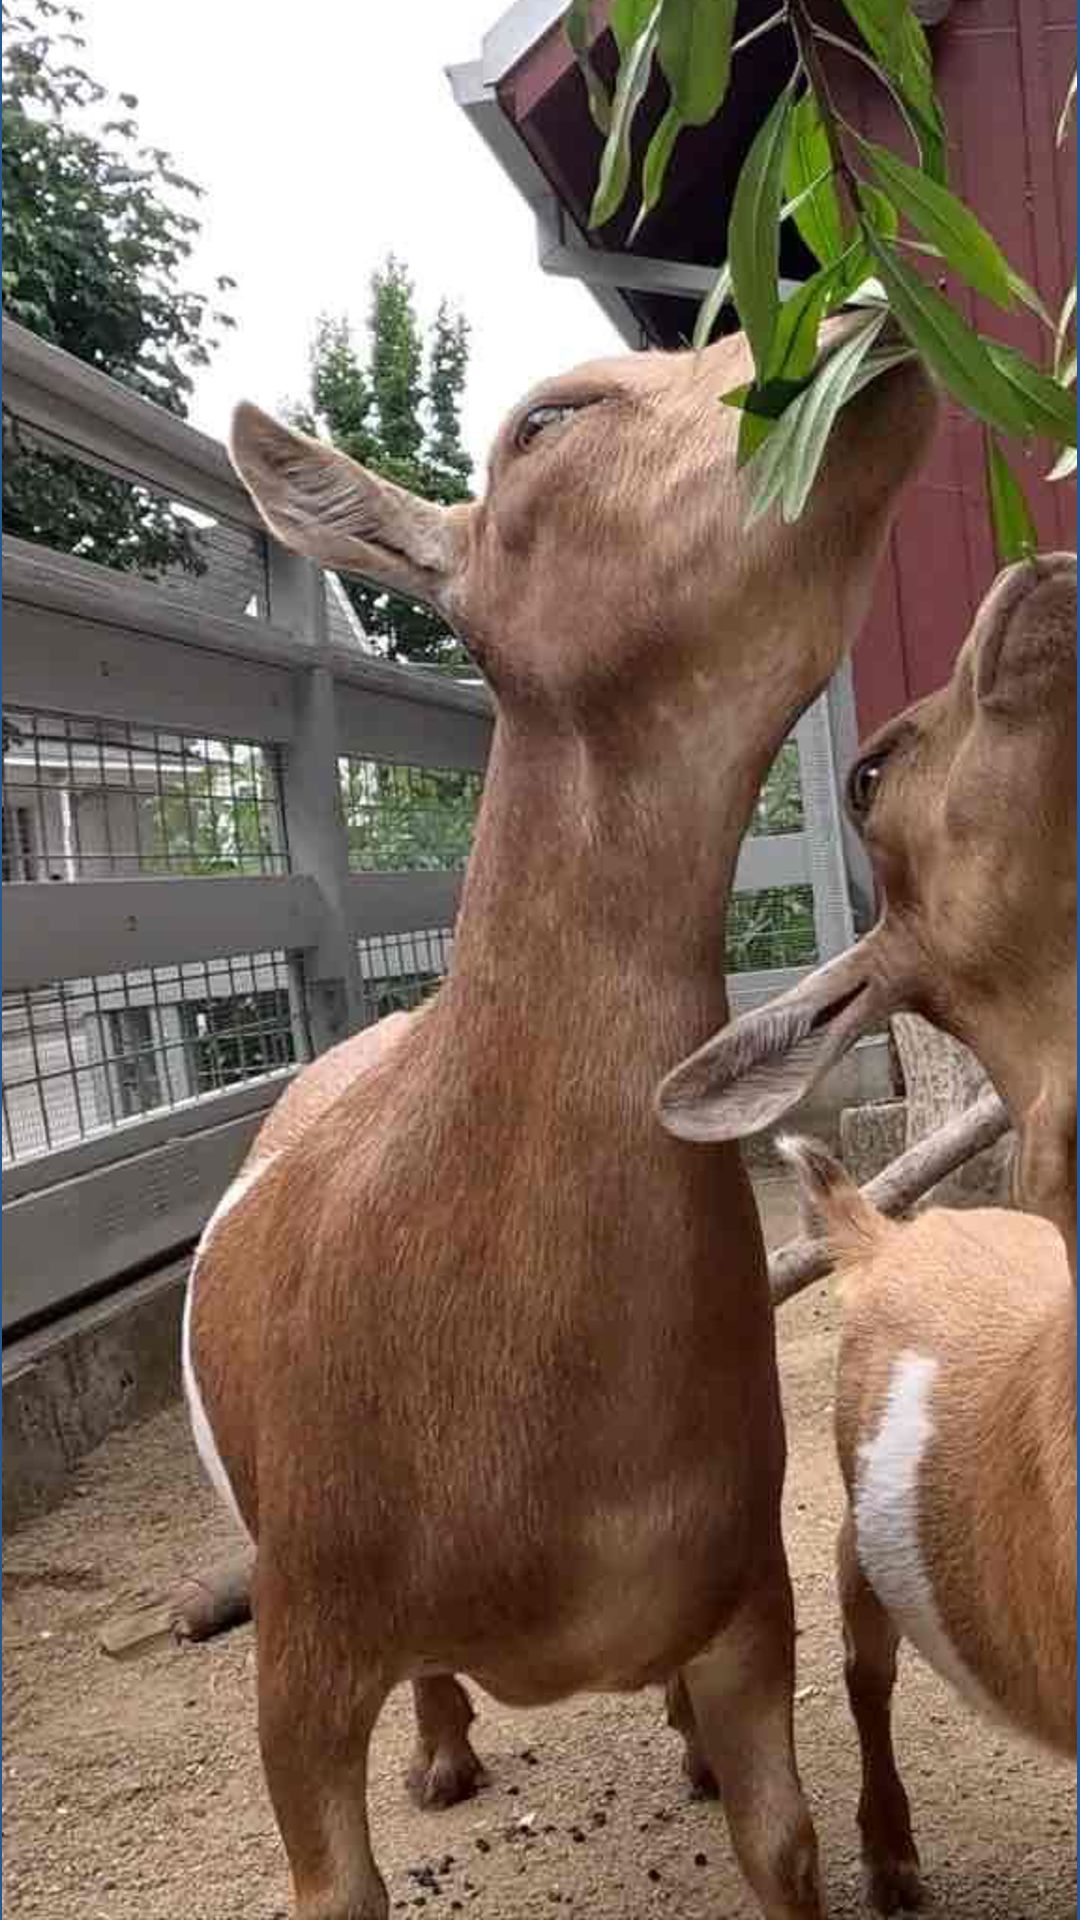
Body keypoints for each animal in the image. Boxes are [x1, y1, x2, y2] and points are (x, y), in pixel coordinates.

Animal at [185, 321, 934, 1920]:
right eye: (546, 422)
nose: (861, 325)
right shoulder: (302, 1637)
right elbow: (337, 1884)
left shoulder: (743, 1588)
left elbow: (784, 1838)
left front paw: (734, 1782)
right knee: (431, 1685)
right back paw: (444, 1754)